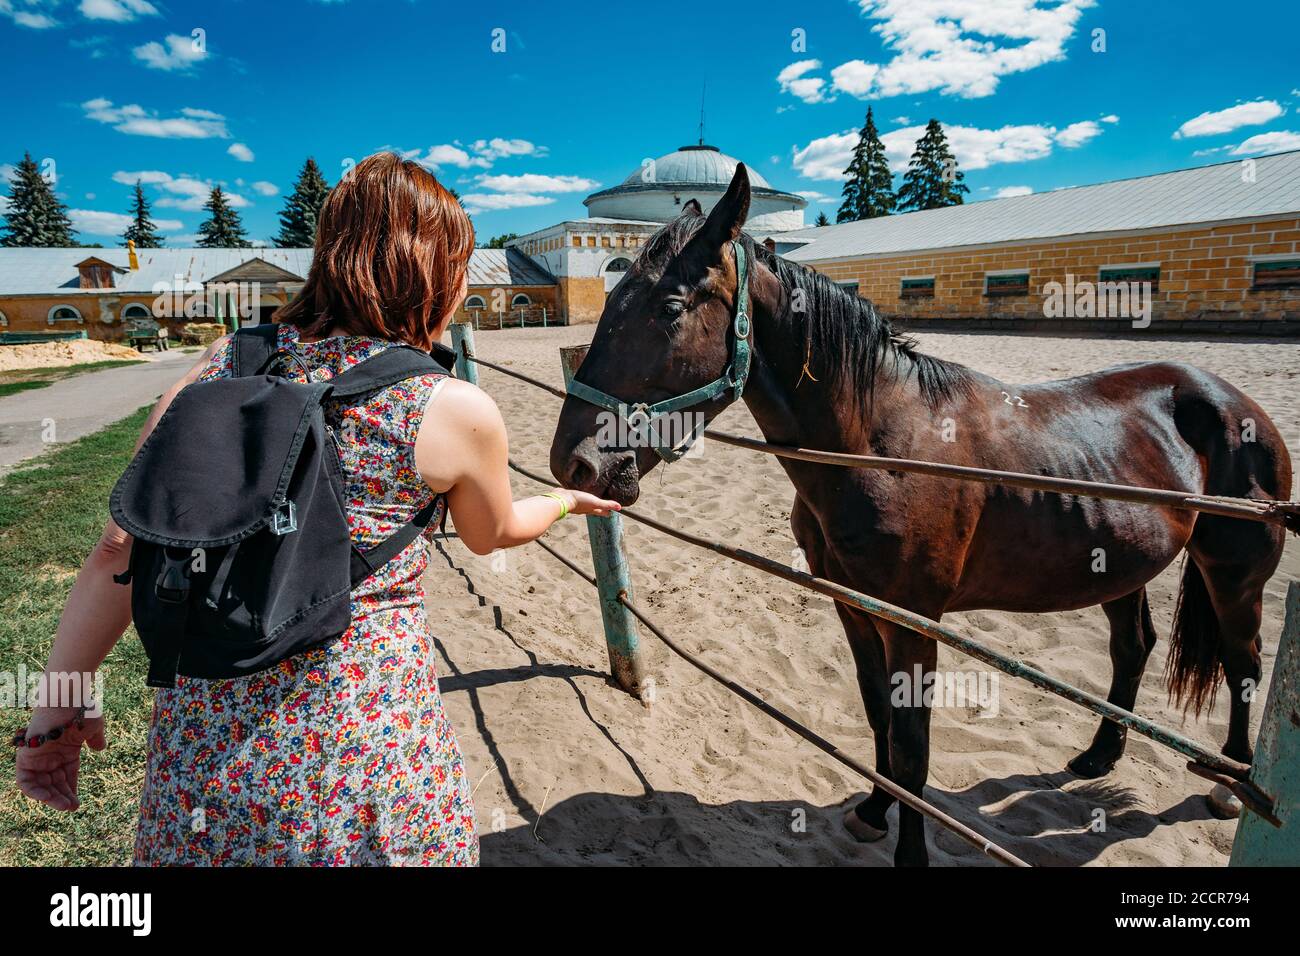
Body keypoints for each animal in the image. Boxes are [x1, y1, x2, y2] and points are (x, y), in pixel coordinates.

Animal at [546, 164, 1289, 868]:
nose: (573, 463)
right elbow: (878, 717)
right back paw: (1099, 756)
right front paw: (874, 811)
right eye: (611, 297)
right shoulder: (852, 606)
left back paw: (1232, 785)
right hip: (1118, 567)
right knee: (1133, 646)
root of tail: (1233, 402)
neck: (881, 445)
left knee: (1244, 662)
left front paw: (908, 849)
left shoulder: (913, 622)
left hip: (1233, 576)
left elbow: (912, 749)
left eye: (670, 306)